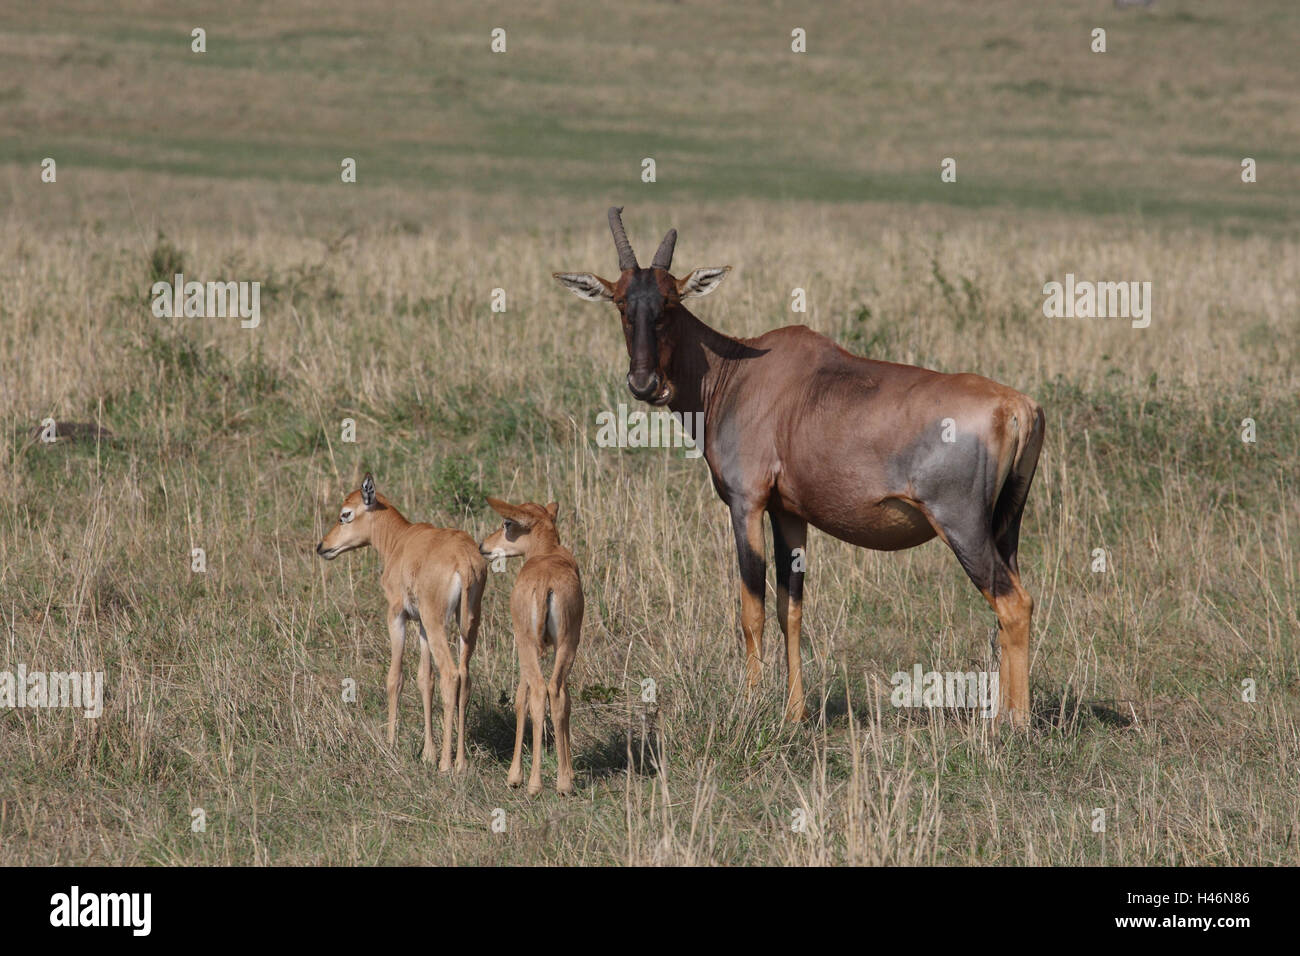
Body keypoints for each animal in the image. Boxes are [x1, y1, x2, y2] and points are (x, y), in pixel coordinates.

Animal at [314, 476, 488, 775]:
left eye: (345, 514)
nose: (323, 546)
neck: (403, 539)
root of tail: (464, 561)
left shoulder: (397, 616)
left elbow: (395, 677)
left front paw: (390, 743)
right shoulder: (422, 625)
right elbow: (425, 679)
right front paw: (427, 754)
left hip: (438, 623)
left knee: (451, 675)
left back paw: (446, 765)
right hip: (467, 625)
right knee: (465, 677)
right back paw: (460, 763)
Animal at [480, 496, 582, 796]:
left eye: (507, 523)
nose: (483, 546)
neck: (547, 552)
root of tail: (545, 583)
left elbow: (520, 699)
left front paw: (514, 776)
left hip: (527, 645)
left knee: (537, 692)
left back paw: (534, 784)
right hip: (567, 644)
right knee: (557, 692)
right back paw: (564, 783)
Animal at [556, 209, 1045, 728]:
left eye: (670, 301)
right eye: (621, 301)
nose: (645, 383)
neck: (742, 371)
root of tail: (1019, 406)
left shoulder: (746, 505)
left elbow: (751, 608)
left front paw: (749, 708)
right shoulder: (789, 513)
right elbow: (790, 609)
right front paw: (794, 714)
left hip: (961, 524)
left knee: (1013, 603)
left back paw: (1012, 723)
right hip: (1005, 528)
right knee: (1011, 602)